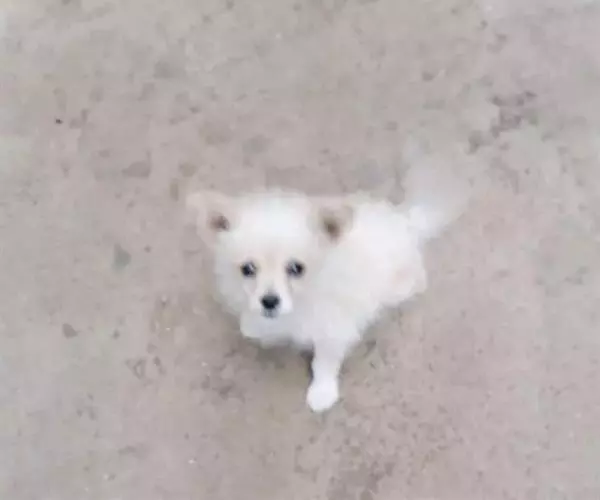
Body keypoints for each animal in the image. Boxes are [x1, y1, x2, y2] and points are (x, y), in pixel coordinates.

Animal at [186, 174, 464, 412]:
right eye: (248, 269)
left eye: (296, 268)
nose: (269, 301)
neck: (305, 296)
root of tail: (406, 222)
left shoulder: (334, 327)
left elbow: (324, 362)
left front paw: (322, 393)